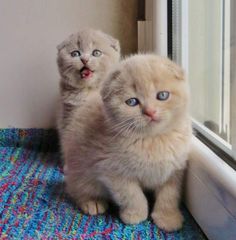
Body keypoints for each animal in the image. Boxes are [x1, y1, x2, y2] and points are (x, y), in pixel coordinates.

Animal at [62, 54, 192, 232]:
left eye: (162, 95)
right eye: (132, 102)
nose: (150, 112)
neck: (153, 140)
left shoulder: (175, 169)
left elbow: (170, 195)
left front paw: (168, 217)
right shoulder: (112, 170)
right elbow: (132, 195)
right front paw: (135, 215)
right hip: (80, 168)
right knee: (76, 189)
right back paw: (92, 202)